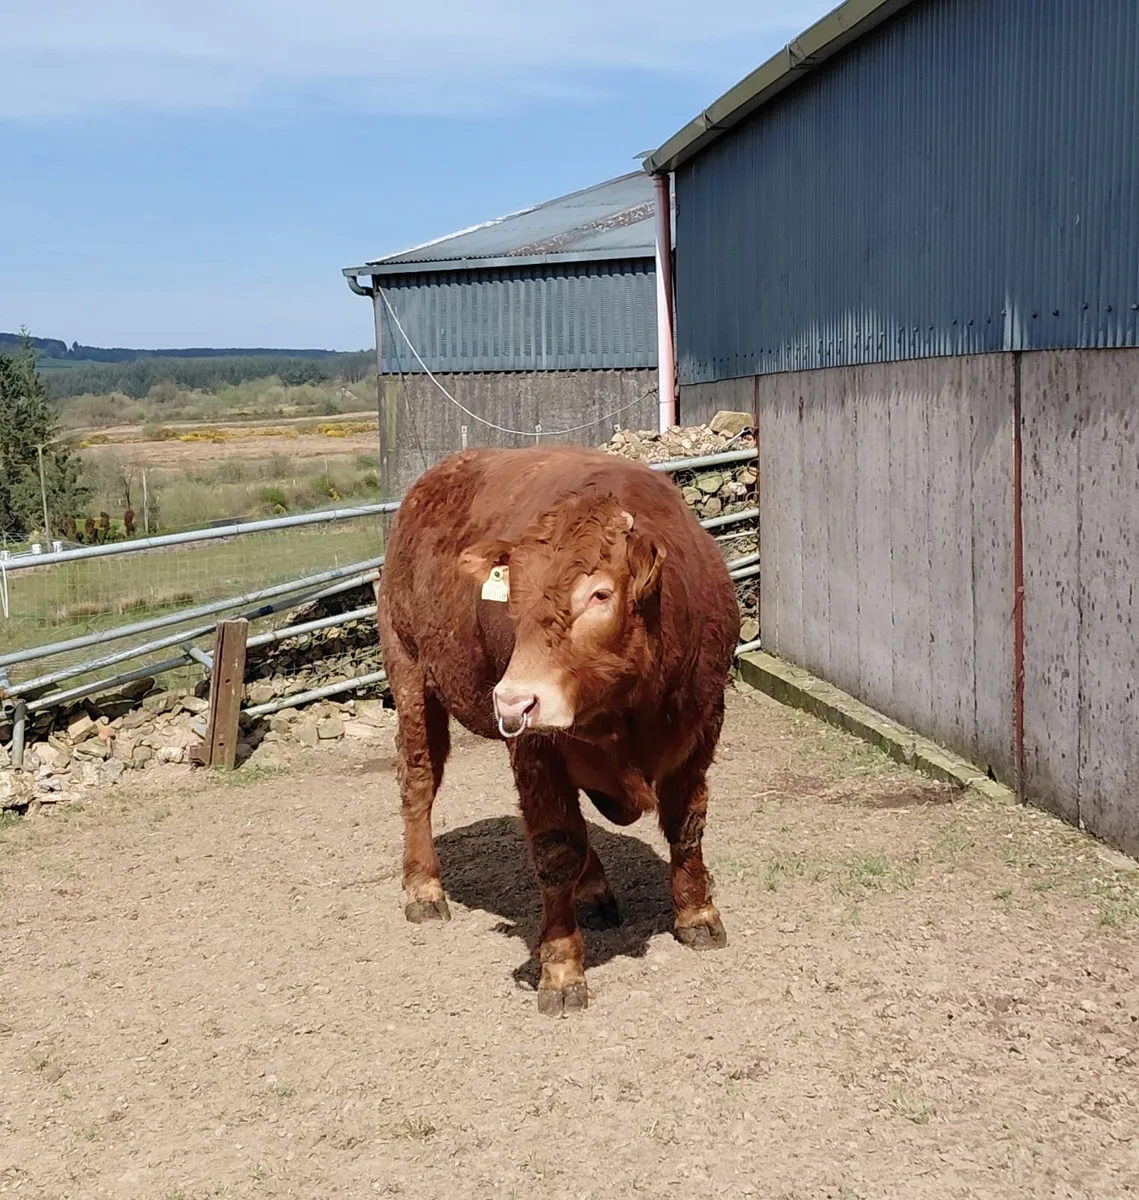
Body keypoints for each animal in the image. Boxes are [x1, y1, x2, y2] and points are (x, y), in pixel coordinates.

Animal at [377, 444, 739, 1015]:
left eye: (600, 594)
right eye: (512, 598)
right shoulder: (534, 747)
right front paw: (561, 969)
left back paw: (593, 890)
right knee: (419, 781)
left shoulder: (703, 725)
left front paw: (697, 914)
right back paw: (423, 888)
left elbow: (686, 825)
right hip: (410, 670)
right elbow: (555, 850)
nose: (513, 699)